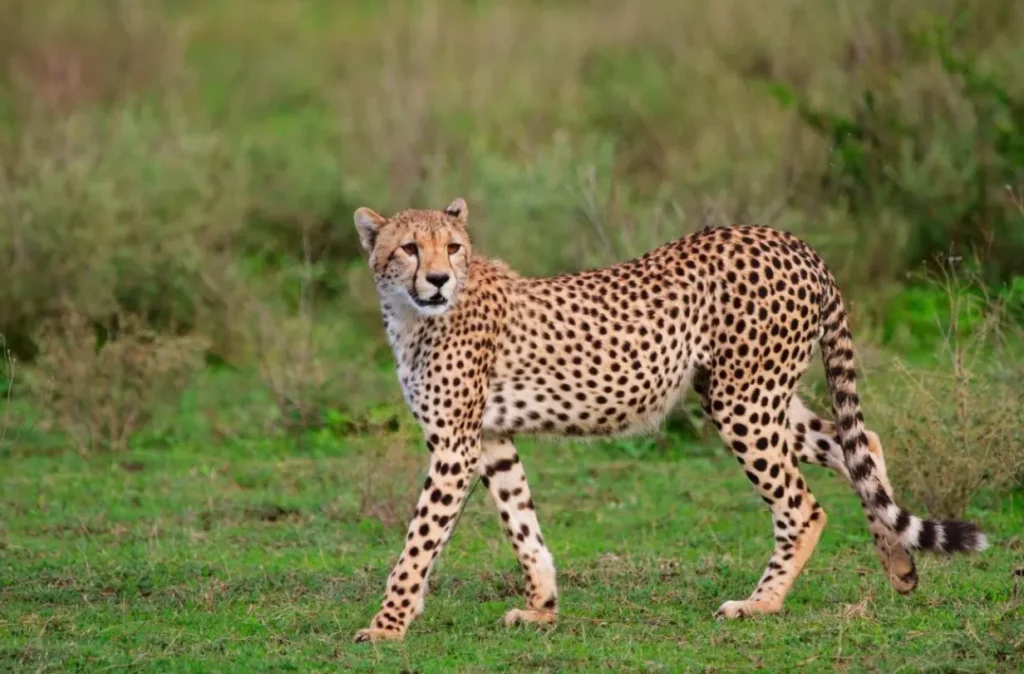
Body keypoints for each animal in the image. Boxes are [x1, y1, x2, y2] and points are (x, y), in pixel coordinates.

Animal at [351, 197, 987, 643]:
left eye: (453, 247)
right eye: (409, 248)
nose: (438, 279)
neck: (413, 315)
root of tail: (790, 240)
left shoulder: (454, 447)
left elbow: (418, 542)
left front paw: (387, 625)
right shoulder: (490, 439)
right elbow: (521, 523)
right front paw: (542, 608)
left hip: (742, 400)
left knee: (803, 506)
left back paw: (760, 604)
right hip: (756, 395)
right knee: (860, 443)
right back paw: (899, 565)